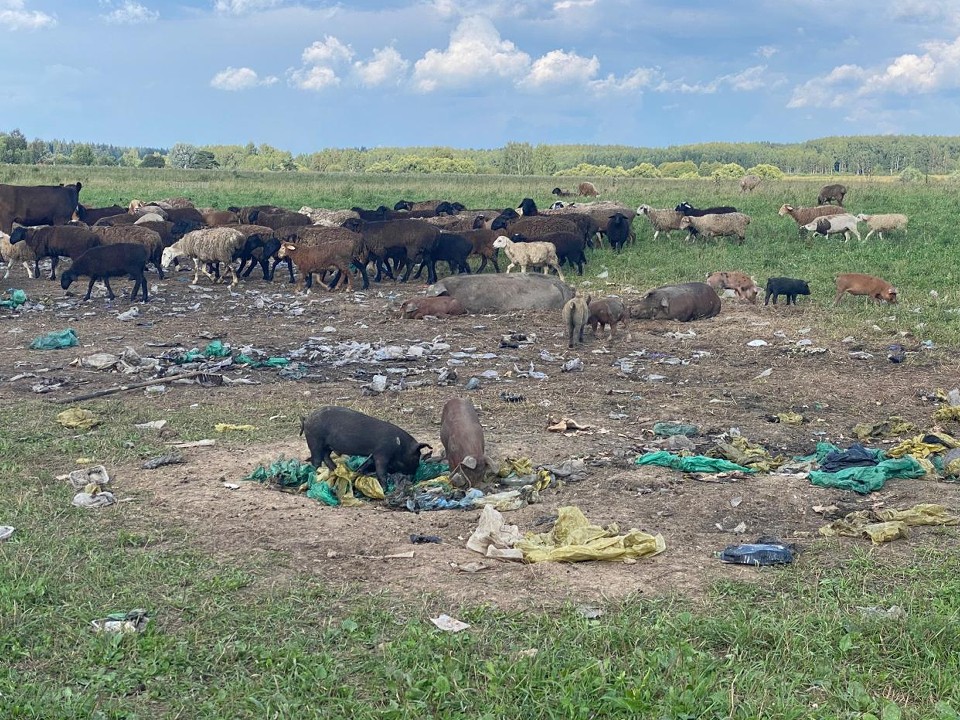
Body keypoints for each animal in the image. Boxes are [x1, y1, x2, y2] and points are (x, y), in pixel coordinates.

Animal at [298, 404, 430, 484]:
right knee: (316, 460)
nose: (413, 477)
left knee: (326, 457)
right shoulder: (382, 454)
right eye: (417, 455)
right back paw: (317, 475)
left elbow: (366, 463)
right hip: (315, 441)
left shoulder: (374, 454)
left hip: (326, 445)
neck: (400, 445)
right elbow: (381, 472)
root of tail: (306, 419)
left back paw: (337, 470)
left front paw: (357, 471)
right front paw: (385, 489)